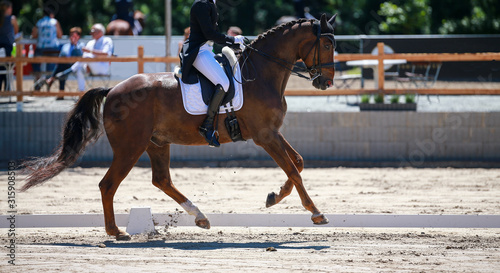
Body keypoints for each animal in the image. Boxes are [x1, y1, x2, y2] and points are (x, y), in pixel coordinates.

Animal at [21, 15, 338, 240]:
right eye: (326, 45)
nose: (326, 82)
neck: (260, 73)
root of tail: (113, 90)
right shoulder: (264, 135)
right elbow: (294, 170)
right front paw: (316, 213)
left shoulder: (272, 133)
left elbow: (298, 162)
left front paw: (273, 197)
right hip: (130, 147)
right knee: (108, 184)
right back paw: (116, 232)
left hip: (157, 143)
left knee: (161, 180)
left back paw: (199, 217)